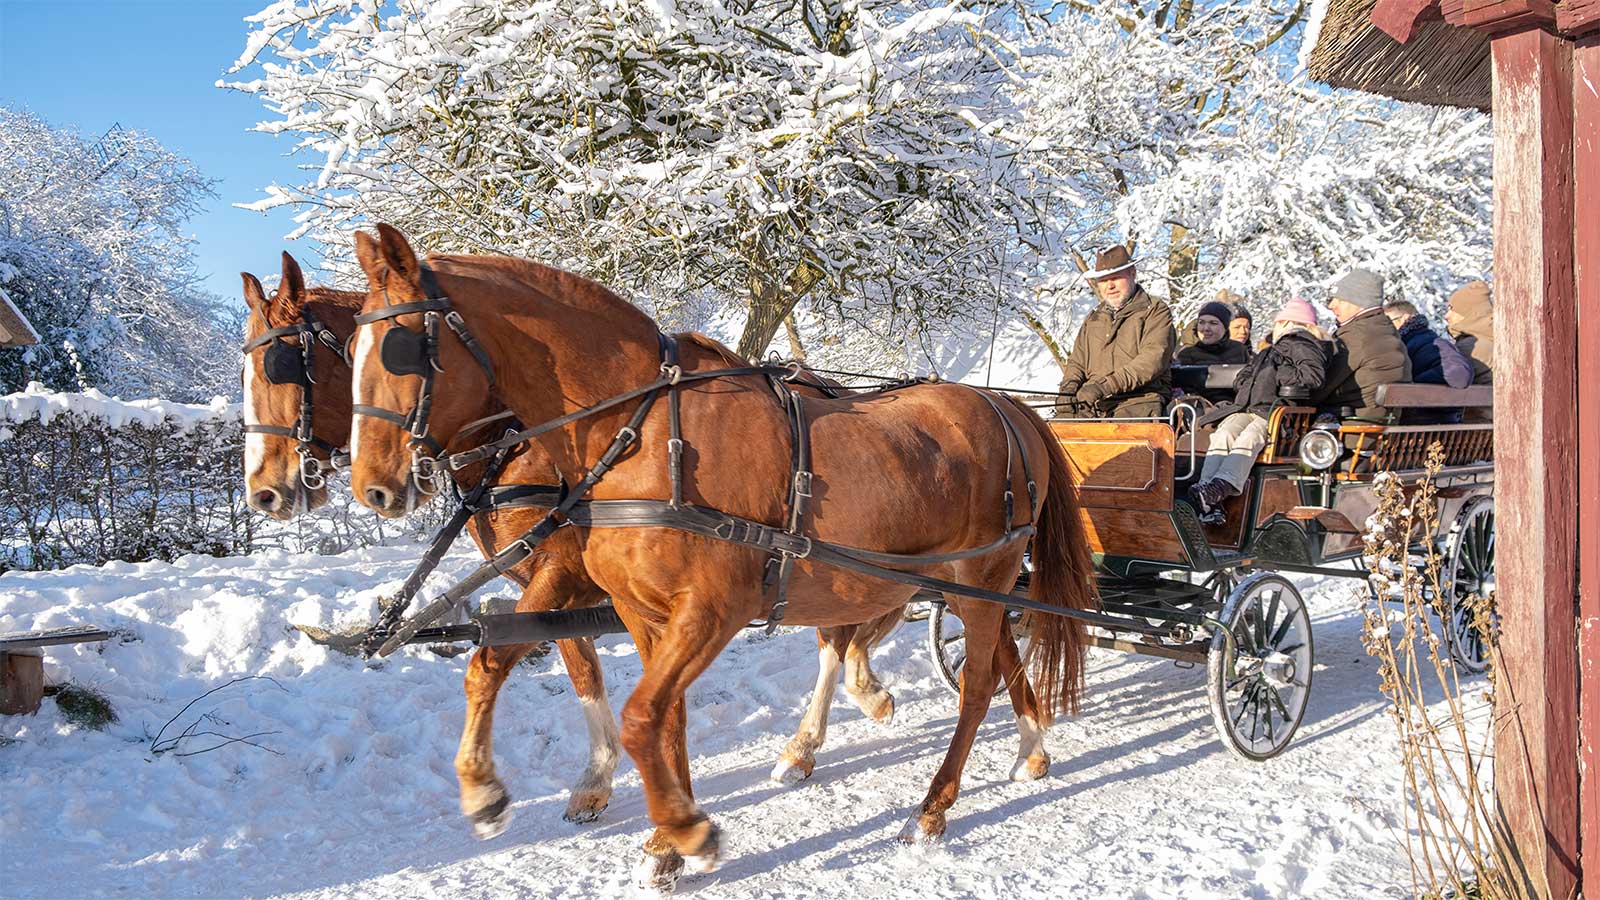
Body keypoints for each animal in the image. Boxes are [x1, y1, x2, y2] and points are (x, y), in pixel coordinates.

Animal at [240, 251, 904, 841]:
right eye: (350, 357)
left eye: (281, 363)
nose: (264, 491)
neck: (523, 438)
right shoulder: (567, 582)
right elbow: (579, 663)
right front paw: (597, 779)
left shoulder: (559, 568)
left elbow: (498, 657)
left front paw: (501, 788)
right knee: (851, 626)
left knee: (839, 633)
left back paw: (819, 732)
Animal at [343, 224, 1095, 889]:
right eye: (349, 348)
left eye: (401, 349)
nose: (372, 487)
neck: (641, 432)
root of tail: (1007, 407)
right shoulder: (640, 612)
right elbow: (653, 716)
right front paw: (654, 840)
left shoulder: (711, 609)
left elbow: (641, 718)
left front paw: (686, 831)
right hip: (960, 585)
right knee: (991, 656)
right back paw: (1028, 750)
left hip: (982, 578)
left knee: (975, 684)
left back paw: (934, 807)